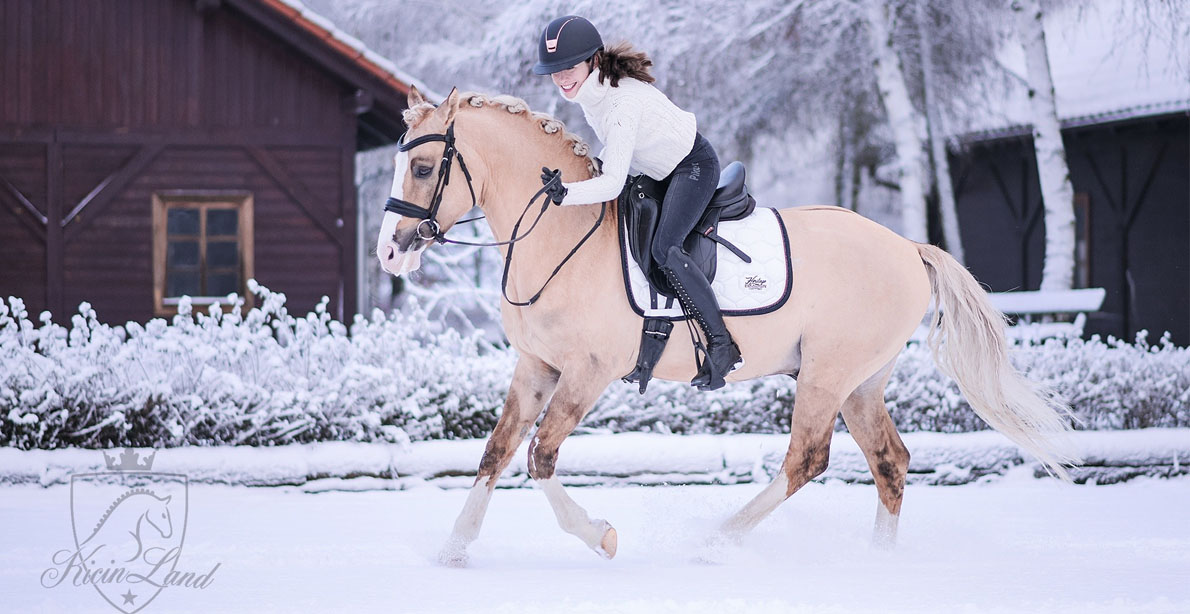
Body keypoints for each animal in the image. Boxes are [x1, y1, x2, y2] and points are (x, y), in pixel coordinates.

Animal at [376, 87, 1085, 566]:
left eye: (422, 169)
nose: (389, 253)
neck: (558, 235)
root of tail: (908, 247)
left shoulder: (587, 373)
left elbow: (541, 458)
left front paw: (601, 536)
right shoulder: (536, 367)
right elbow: (496, 453)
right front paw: (454, 549)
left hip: (826, 376)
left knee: (806, 460)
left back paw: (715, 541)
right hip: (860, 384)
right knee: (890, 462)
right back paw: (877, 561)